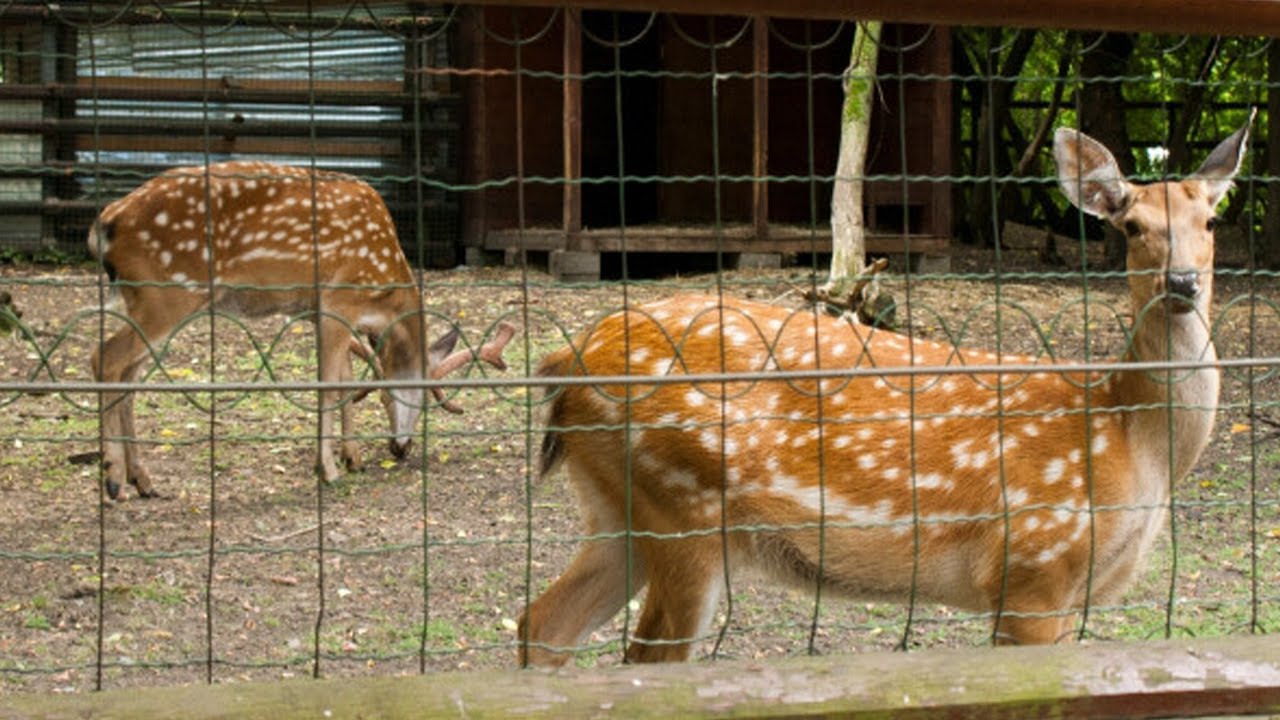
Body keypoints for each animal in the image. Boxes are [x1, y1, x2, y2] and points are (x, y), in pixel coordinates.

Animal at [90, 162, 514, 499]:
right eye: (423, 397)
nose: (401, 448)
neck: (383, 285)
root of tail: (106, 223)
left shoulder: (321, 312)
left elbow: (344, 381)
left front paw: (353, 458)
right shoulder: (338, 300)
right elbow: (327, 386)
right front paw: (327, 469)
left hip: (145, 299)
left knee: (129, 375)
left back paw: (143, 480)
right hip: (166, 293)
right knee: (105, 358)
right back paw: (113, 479)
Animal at [519, 117, 1249, 661]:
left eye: (1211, 223)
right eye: (1132, 226)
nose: (1182, 282)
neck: (1128, 440)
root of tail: (568, 357)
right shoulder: (1031, 565)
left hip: (621, 510)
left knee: (542, 623)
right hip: (681, 505)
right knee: (643, 655)